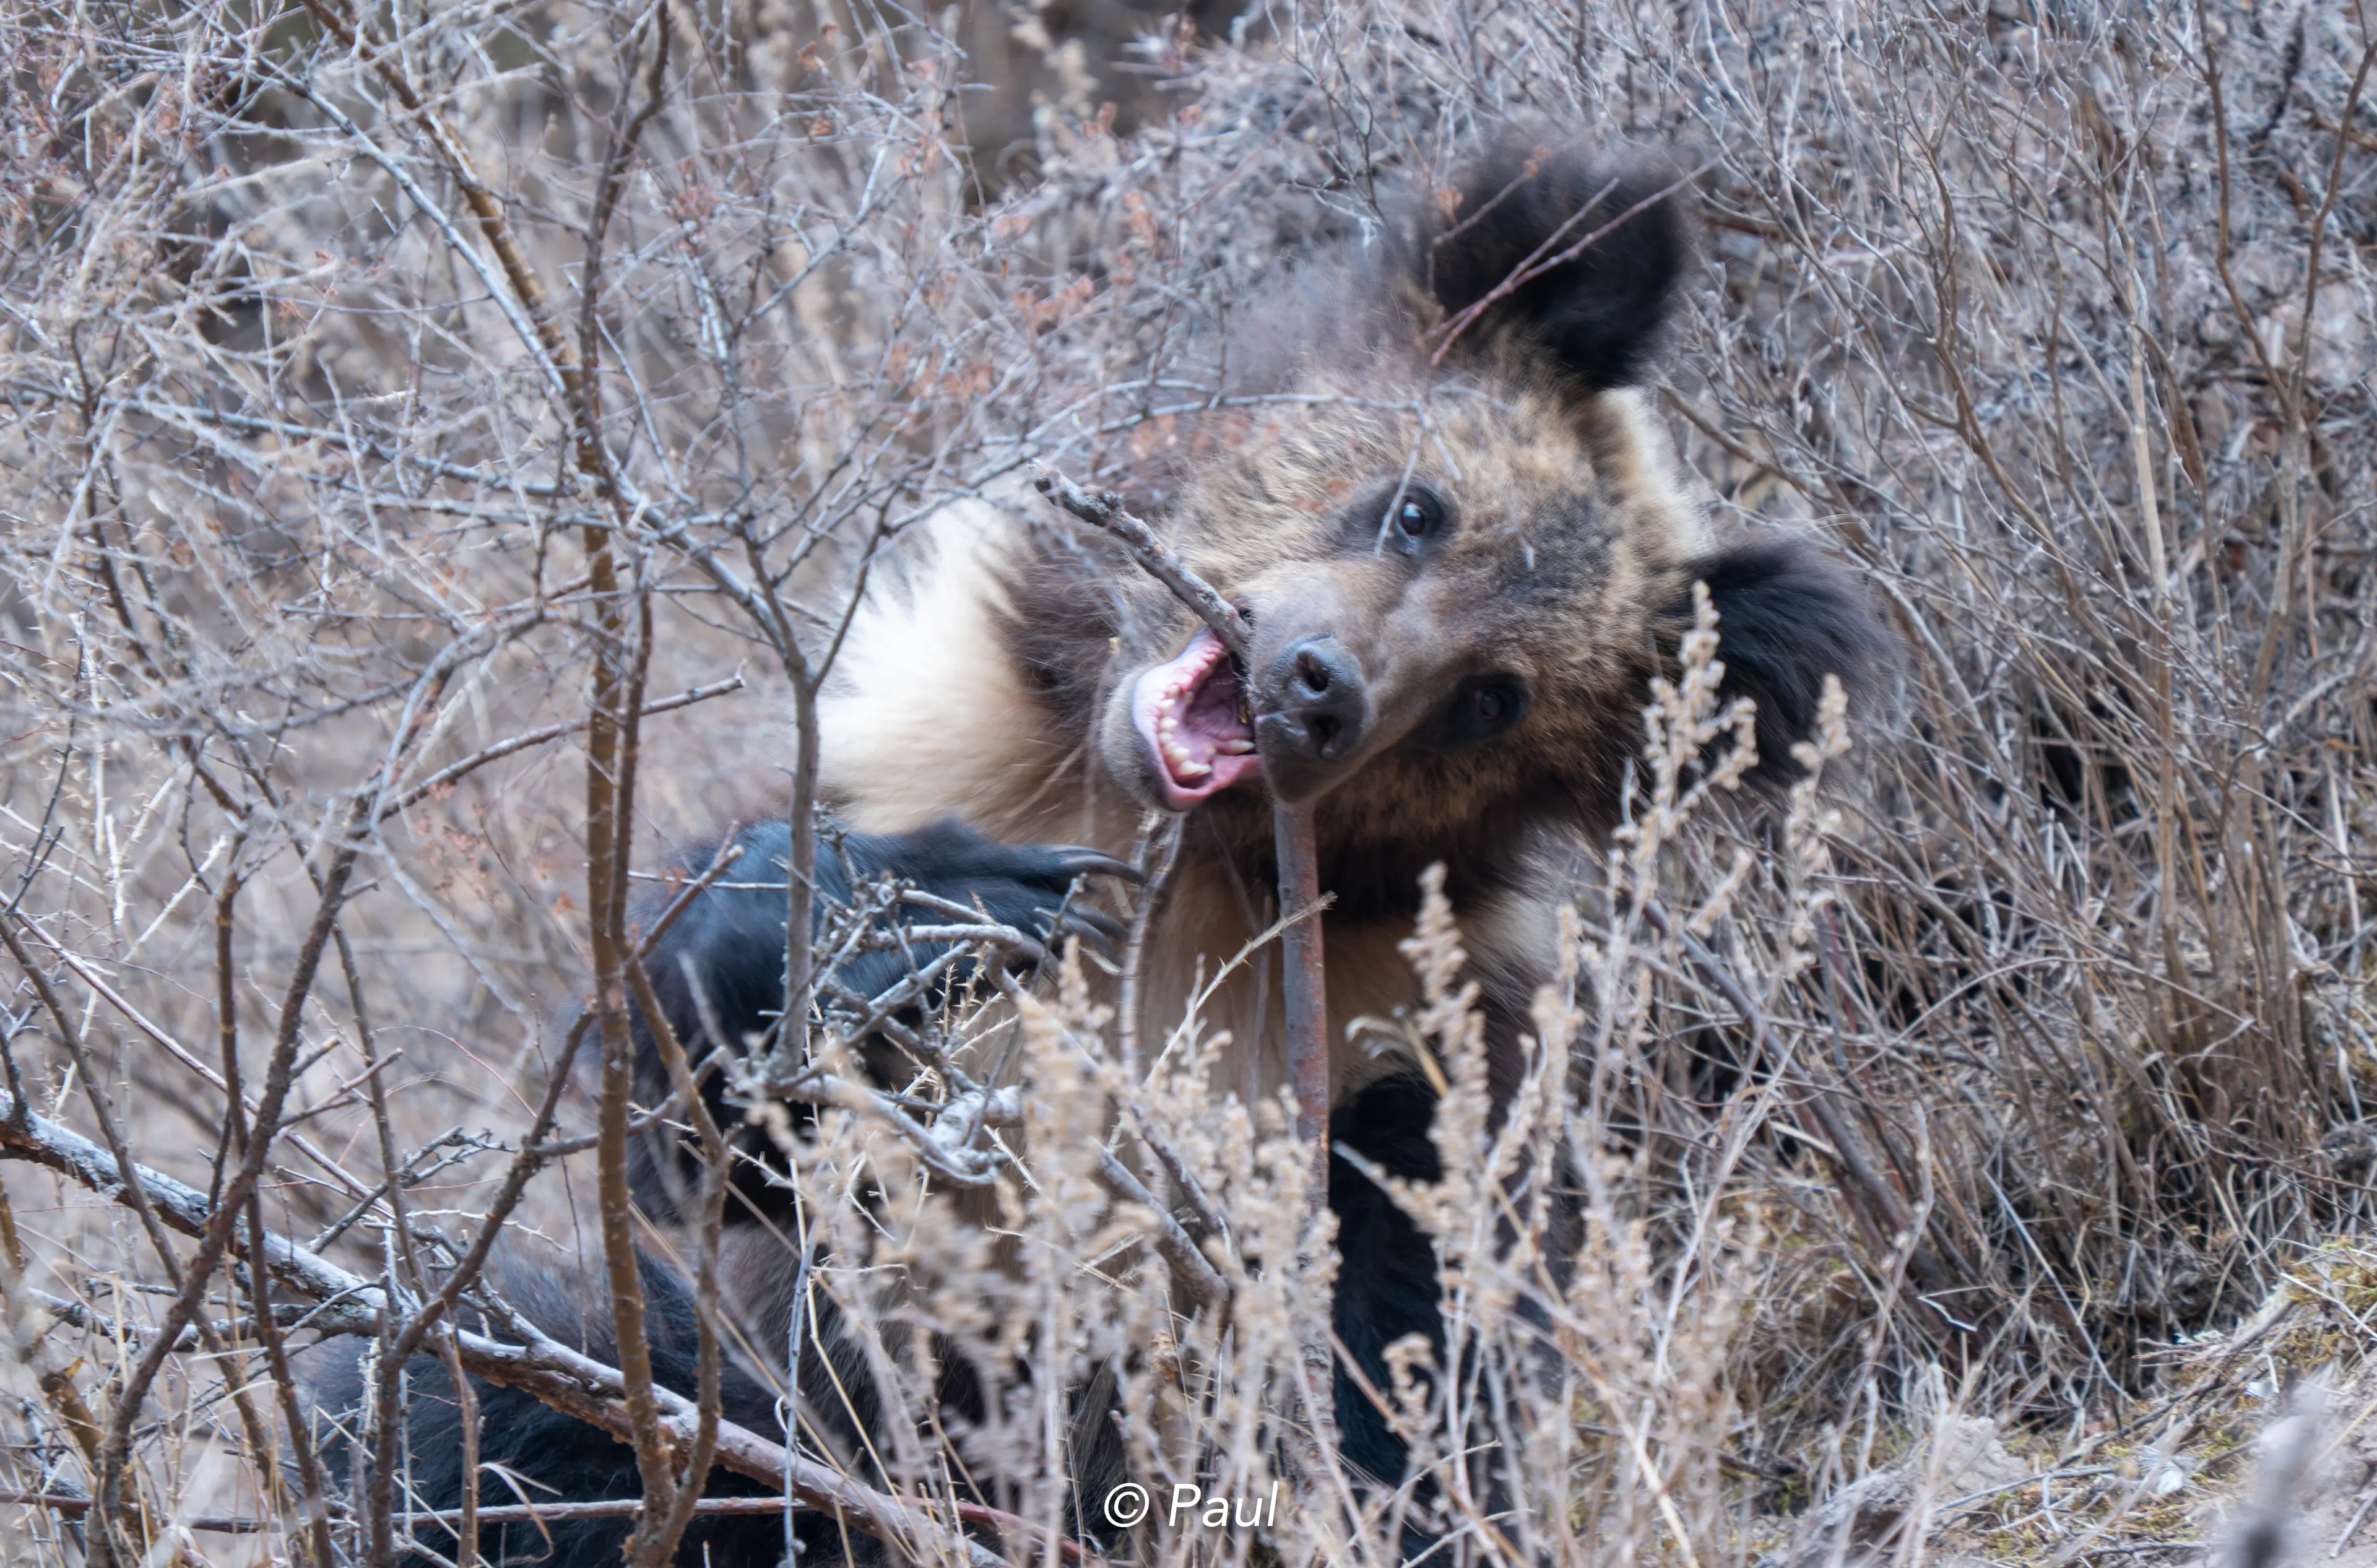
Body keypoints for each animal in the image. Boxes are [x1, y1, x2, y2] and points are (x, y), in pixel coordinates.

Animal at [320, 136, 1897, 1567]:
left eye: (1493, 696)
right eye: (1415, 506)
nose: (1320, 687)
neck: (1176, 858)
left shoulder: (1393, 1045)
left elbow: (1396, 1334)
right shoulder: (915, 753)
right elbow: (687, 1112)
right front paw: (917, 916)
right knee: (461, 1412)